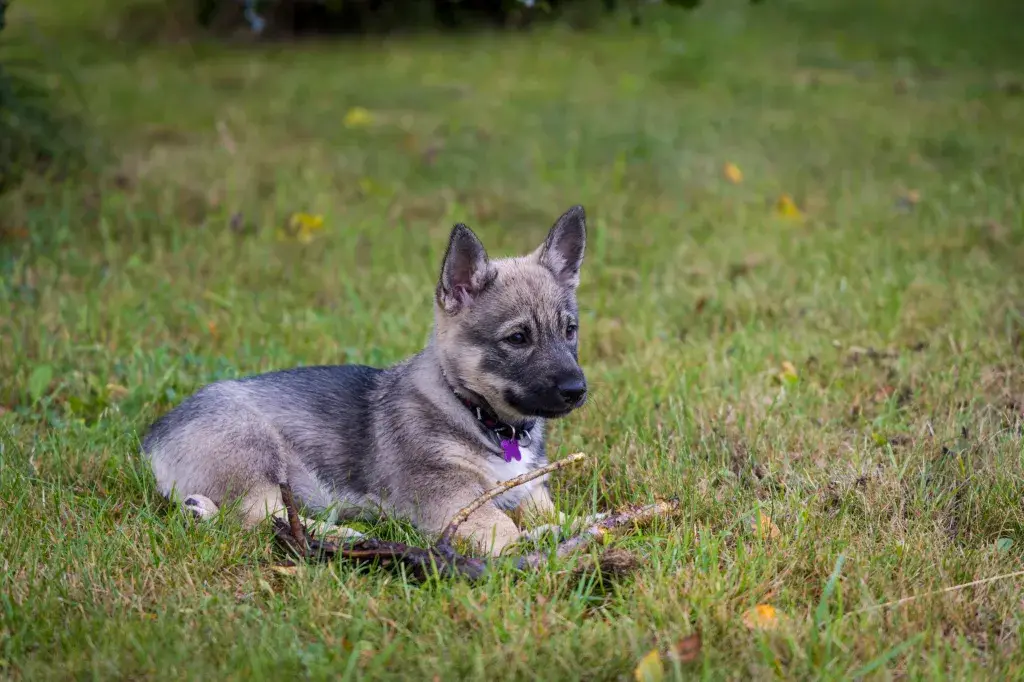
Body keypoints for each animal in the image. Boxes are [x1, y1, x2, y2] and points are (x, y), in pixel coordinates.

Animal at [144, 202, 593, 552]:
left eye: (570, 330)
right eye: (517, 338)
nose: (577, 391)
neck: (476, 413)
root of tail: (152, 441)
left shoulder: (529, 490)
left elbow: (553, 513)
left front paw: (579, 527)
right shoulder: (451, 499)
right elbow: (502, 532)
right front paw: (539, 549)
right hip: (254, 452)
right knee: (261, 518)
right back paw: (346, 537)